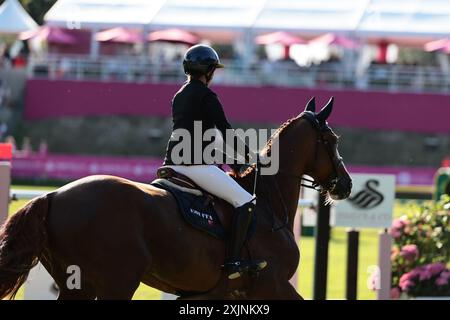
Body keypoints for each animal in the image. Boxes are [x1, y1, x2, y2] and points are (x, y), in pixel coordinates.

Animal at [0, 97, 352, 300]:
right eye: (333, 140)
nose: (346, 185)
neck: (267, 204)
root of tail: (53, 195)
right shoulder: (273, 284)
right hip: (116, 283)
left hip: (78, 287)